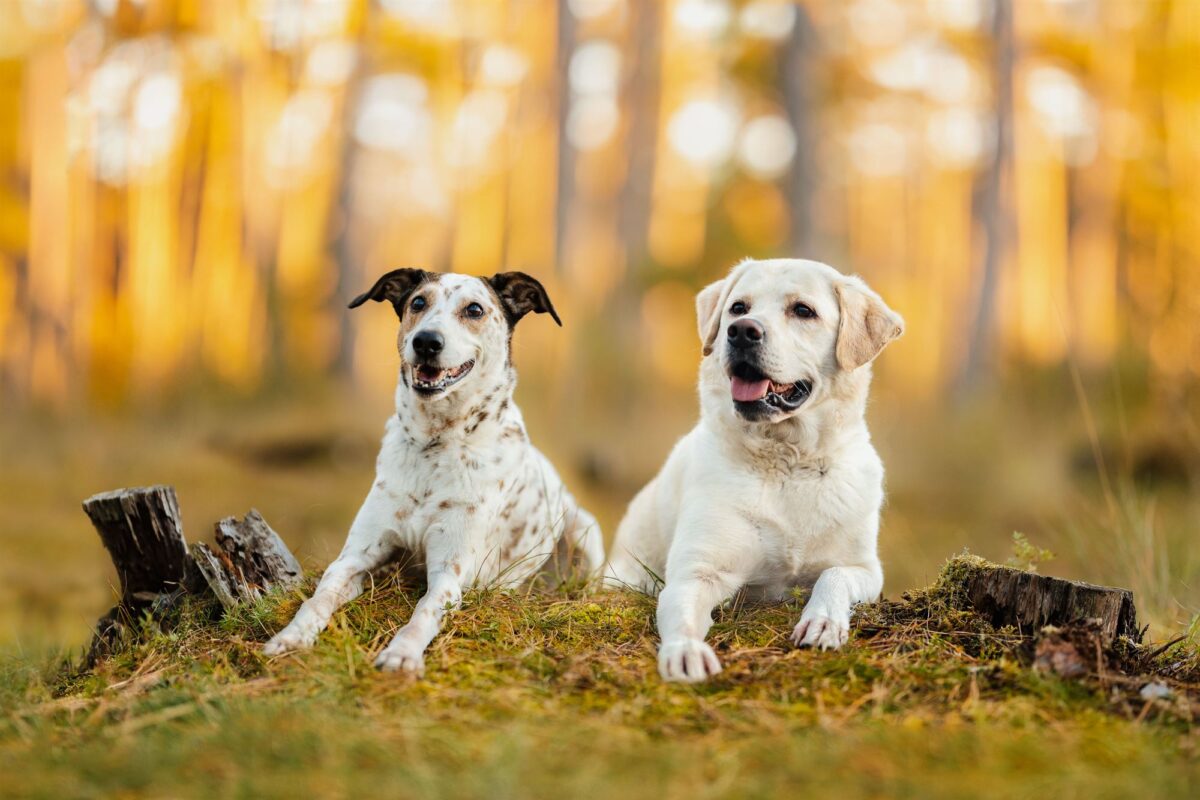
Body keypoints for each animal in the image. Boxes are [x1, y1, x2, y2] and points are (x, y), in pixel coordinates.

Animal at [262, 268, 600, 676]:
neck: (434, 446)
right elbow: (320, 595)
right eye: (418, 302)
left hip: (585, 530)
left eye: (474, 309)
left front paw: (402, 653)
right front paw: (292, 636)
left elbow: (424, 611)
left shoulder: (449, 571)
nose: (426, 341)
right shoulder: (358, 555)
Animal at [609, 261, 902, 681]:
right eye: (737, 307)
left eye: (803, 310)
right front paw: (685, 651)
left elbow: (834, 576)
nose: (742, 330)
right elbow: (682, 616)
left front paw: (823, 621)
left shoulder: (864, 567)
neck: (787, 464)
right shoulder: (697, 572)